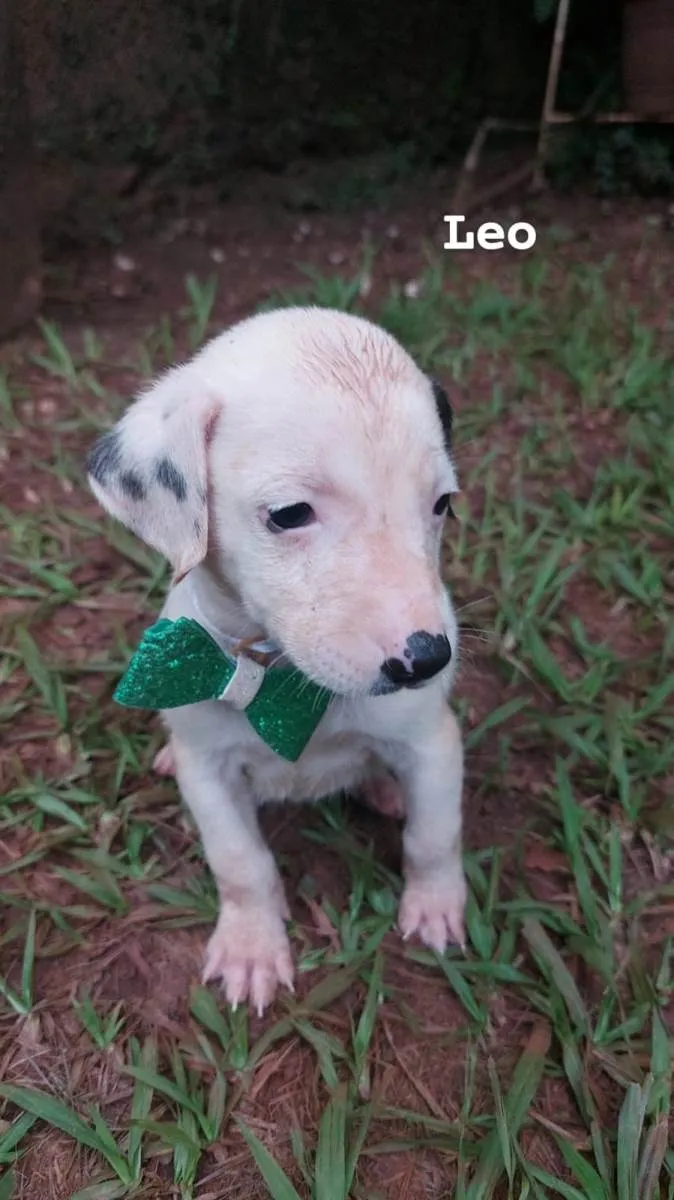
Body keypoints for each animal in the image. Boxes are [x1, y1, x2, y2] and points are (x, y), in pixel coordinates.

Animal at [89, 307, 465, 1012]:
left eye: (442, 505)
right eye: (290, 514)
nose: (427, 661)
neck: (282, 680)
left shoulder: (432, 742)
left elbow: (435, 835)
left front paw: (435, 907)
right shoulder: (208, 770)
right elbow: (241, 863)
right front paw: (252, 948)